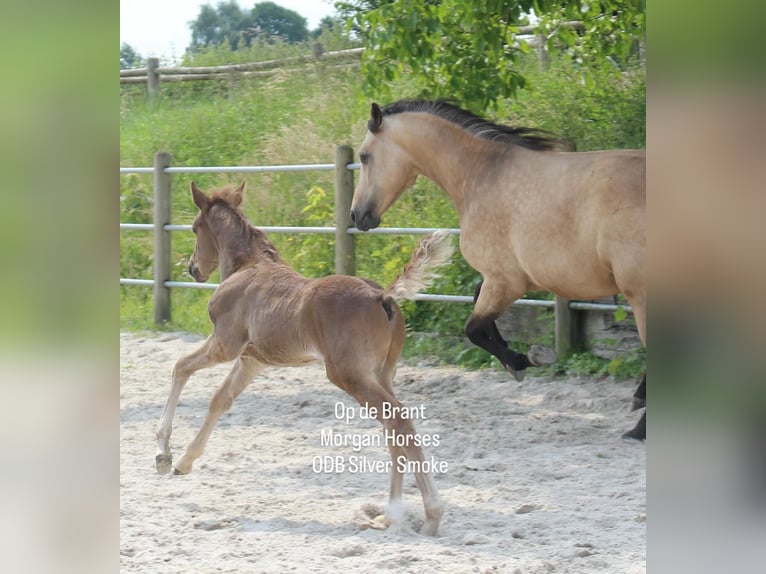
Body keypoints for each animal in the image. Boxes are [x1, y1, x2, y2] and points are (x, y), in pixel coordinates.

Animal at [154, 182, 453, 536]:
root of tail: (382, 295)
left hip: (348, 375)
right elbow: (220, 399)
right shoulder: (252, 360)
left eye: (194, 228)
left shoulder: (226, 344)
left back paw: (430, 515)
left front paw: (163, 455)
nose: (193, 269)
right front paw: (184, 461)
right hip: (381, 373)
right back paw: (389, 515)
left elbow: (180, 368)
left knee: (398, 419)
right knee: (394, 426)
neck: (248, 266)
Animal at [350, 99, 646, 440]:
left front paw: (523, 360)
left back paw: (638, 427)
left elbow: (473, 329)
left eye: (364, 156)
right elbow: (477, 307)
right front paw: (516, 358)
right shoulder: (503, 279)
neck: (483, 175)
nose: (357, 215)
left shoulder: (506, 281)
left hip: (639, 293)